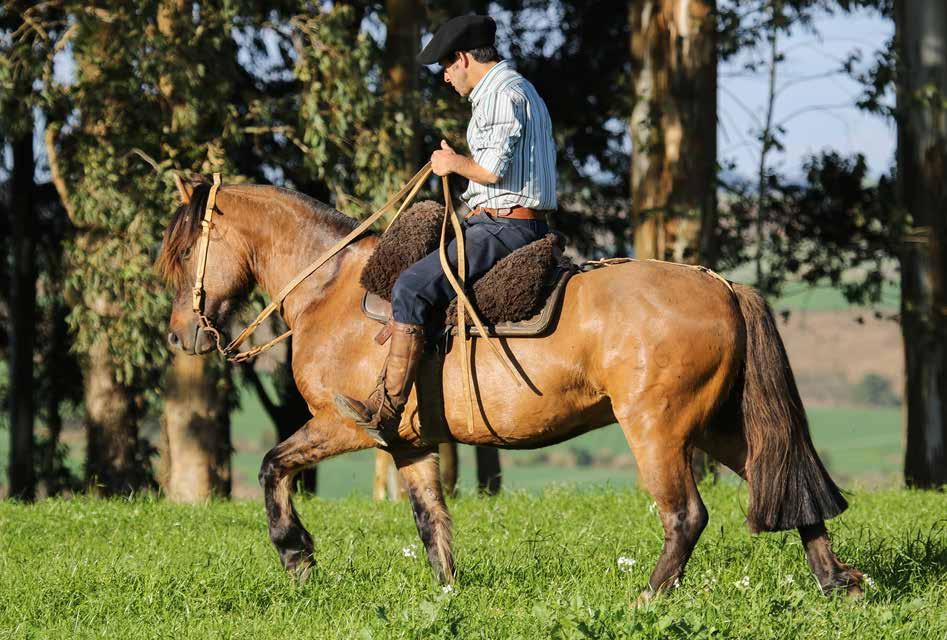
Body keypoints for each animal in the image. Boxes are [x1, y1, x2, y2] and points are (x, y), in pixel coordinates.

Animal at [159, 179, 864, 600]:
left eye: (187, 248)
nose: (179, 337)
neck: (330, 291)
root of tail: (722, 285)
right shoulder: (409, 445)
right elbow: (432, 522)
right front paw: (447, 594)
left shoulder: (344, 425)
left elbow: (271, 466)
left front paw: (297, 555)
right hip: (721, 426)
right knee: (787, 483)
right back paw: (836, 582)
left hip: (658, 431)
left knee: (686, 515)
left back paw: (648, 597)